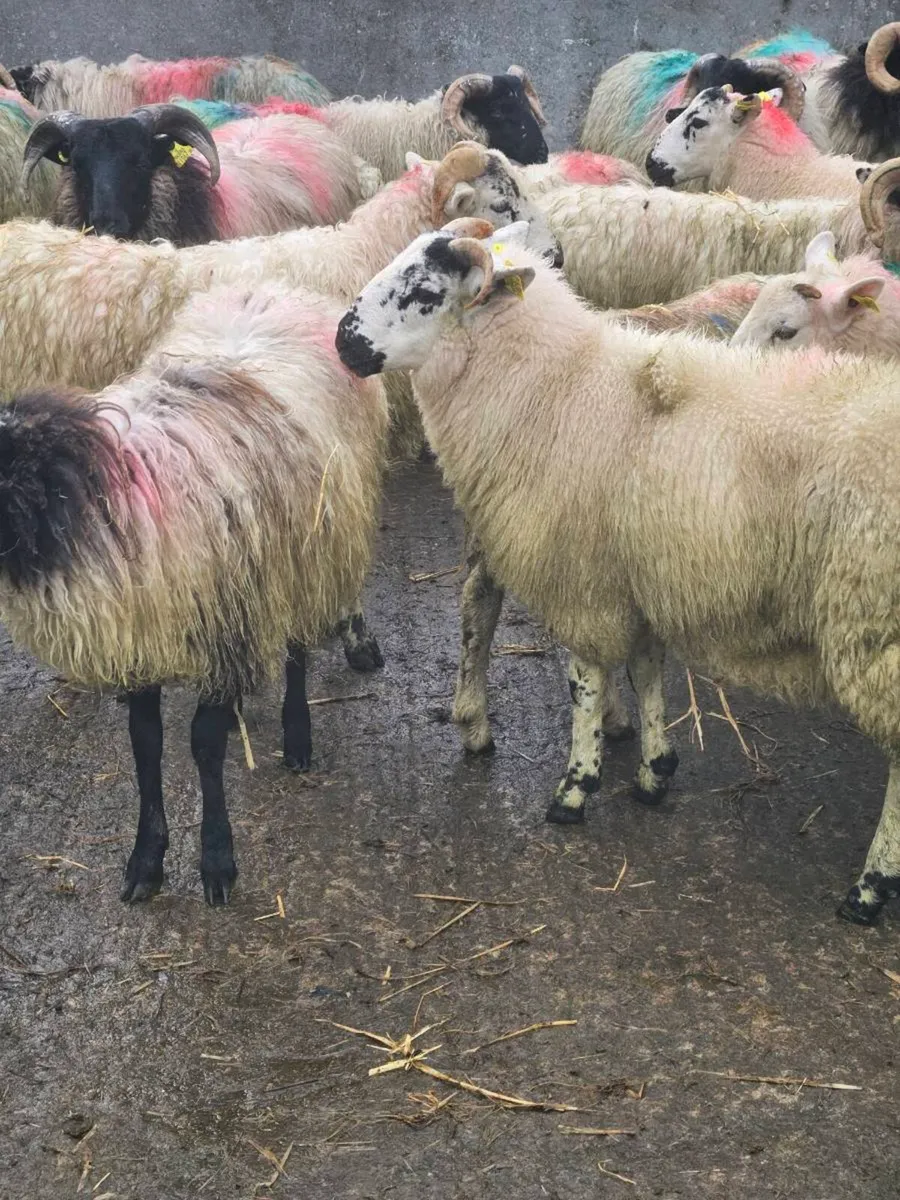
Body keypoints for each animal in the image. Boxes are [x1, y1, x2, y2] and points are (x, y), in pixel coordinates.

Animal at [0, 281, 388, 906]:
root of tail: (281, 291)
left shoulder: (225, 621)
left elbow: (202, 746)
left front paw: (216, 860)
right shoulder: (143, 633)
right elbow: (146, 744)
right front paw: (146, 859)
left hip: (302, 551)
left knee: (296, 647)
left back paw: (297, 734)